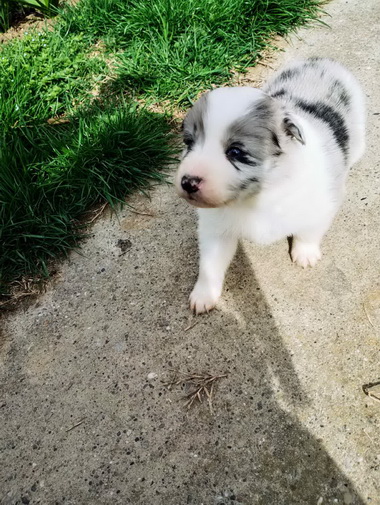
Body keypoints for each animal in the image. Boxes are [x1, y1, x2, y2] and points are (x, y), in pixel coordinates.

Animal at [175, 57, 366, 314]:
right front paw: (204, 295)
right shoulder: (215, 230)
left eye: (236, 152)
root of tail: (320, 60)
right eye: (189, 143)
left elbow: (310, 232)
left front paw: (305, 254)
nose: (187, 182)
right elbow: (210, 265)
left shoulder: (322, 206)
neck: (256, 198)